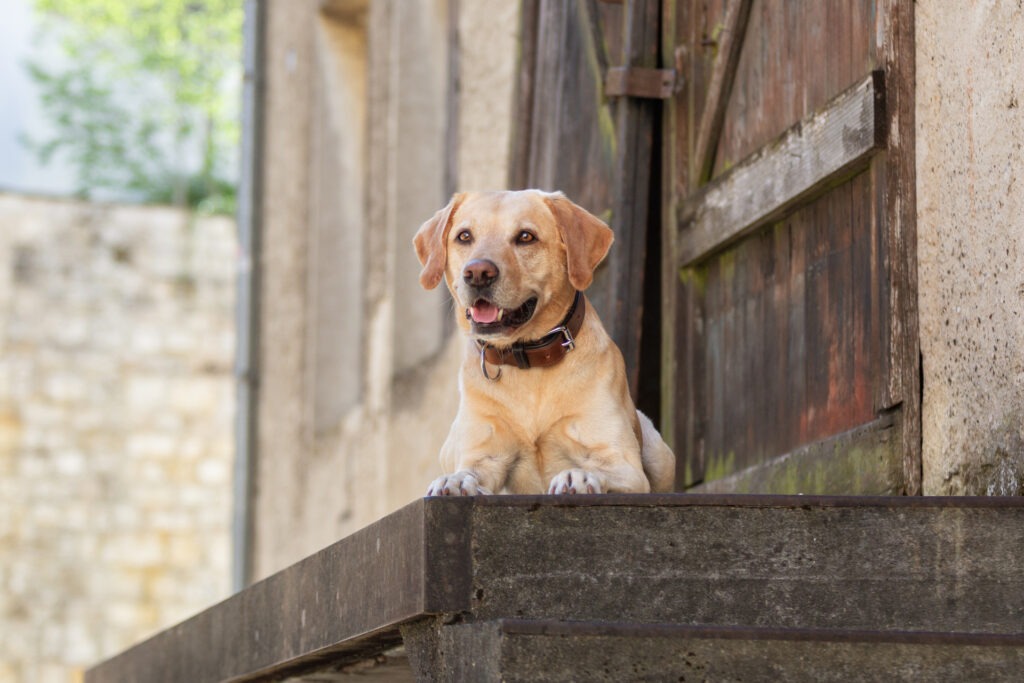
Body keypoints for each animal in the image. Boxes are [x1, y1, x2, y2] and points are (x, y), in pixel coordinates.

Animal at [411, 189, 675, 493]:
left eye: (526, 237)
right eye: (464, 236)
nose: (477, 273)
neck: (528, 361)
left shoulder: (625, 465)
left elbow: (597, 469)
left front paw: (578, 476)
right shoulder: (484, 454)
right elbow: (469, 472)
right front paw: (454, 481)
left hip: (658, 451)